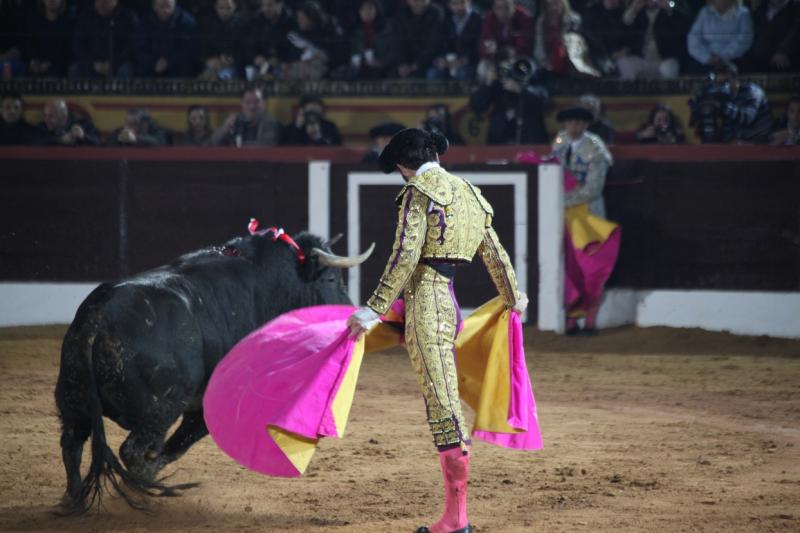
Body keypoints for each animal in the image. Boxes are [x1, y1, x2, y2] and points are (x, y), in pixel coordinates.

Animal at [54, 232, 374, 512]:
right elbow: (175, 446)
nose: (349, 313)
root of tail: (99, 317)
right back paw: (140, 493)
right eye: (331, 279)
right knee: (132, 450)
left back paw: (75, 500)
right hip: (158, 412)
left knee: (72, 442)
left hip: (74, 400)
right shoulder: (207, 403)